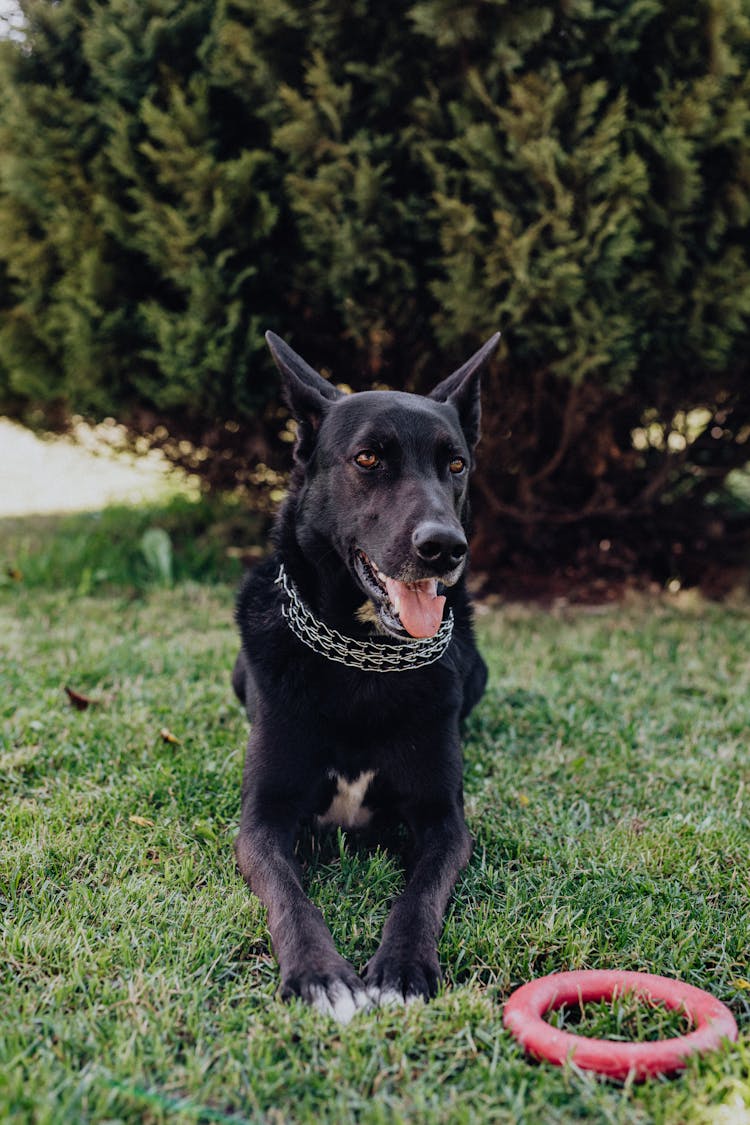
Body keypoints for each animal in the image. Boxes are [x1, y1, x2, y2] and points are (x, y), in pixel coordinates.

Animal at [232, 328, 499, 1026]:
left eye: (455, 465)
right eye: (369, 459)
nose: (445, 548)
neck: (362, 656)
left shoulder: (444, 820)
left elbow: (419, 896)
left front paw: (402, 969)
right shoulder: (262, 821)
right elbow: (291, 898)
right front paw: (320, 975)